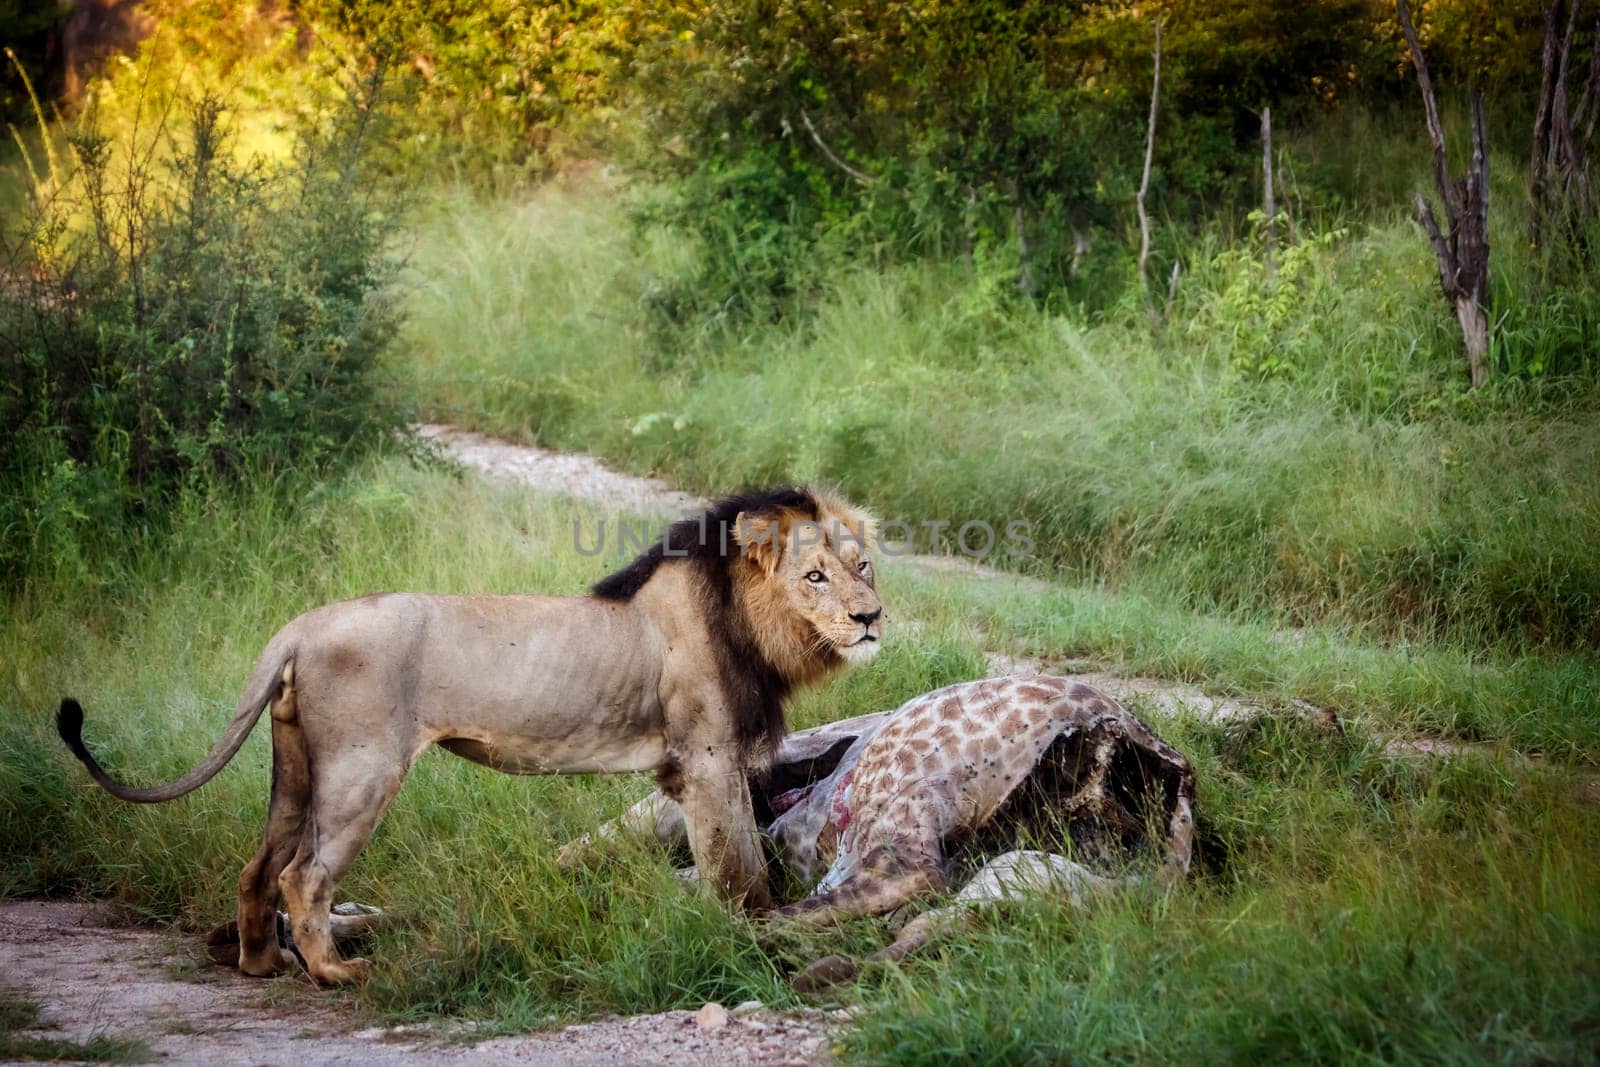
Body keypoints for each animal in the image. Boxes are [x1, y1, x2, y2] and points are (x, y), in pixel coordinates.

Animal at [59, 483, 889, 985]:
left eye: (864, 567)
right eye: (815, 576)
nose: (871, 616)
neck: (750, 623)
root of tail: (301, 624)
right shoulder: (705, 759)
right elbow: (738, 866)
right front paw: (752, 936)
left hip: (294, 766)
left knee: (258, 866)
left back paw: (261, 963)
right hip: (363, 768)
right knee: (305, 876)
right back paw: (336, 972)